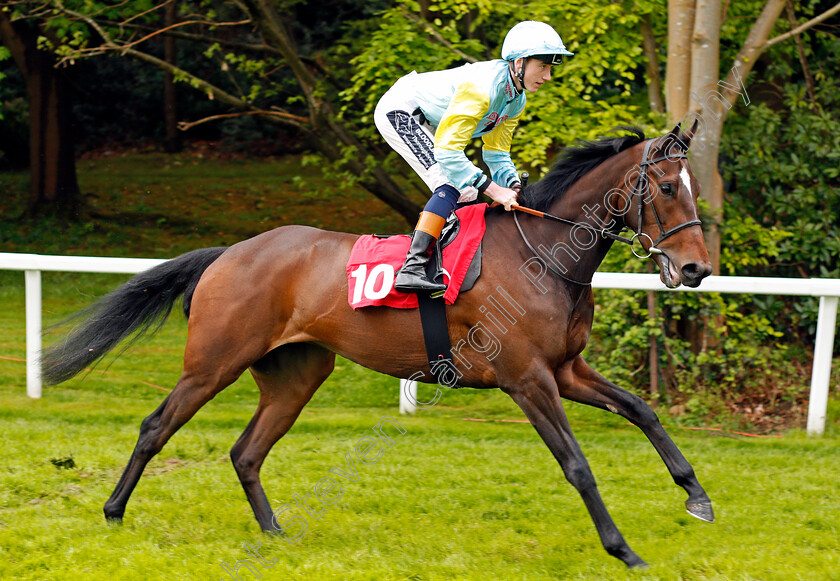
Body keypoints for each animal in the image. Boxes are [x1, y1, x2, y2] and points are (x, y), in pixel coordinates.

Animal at [42, 121, 716, 568]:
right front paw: (623, 549)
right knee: (156, 426)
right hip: (212, 363)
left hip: (296, 375)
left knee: (246, 451)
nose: (696, 269)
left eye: (692, 186)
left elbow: (641, 410)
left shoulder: (566, 369)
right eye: (664, 187)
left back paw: (275, 532)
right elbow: (577, 464)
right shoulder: (527, 378)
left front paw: (697, 497)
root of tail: (230, 252)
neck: (543, 256)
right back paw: (113, 512)